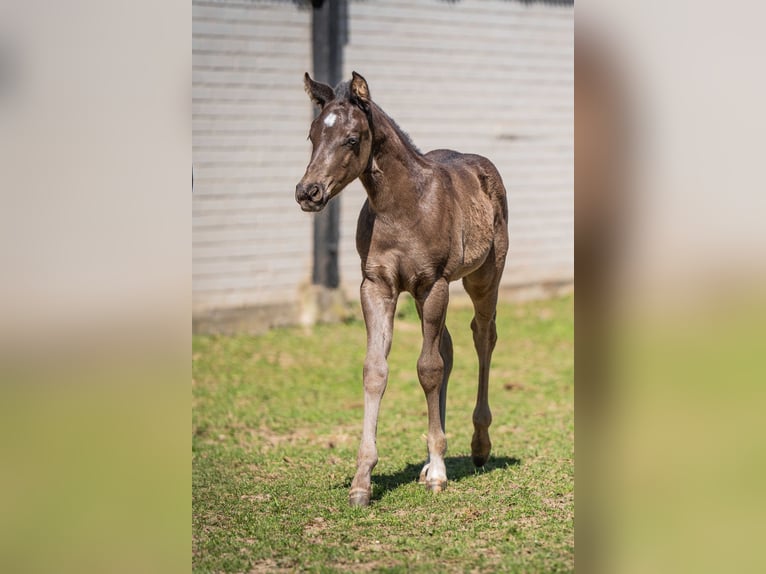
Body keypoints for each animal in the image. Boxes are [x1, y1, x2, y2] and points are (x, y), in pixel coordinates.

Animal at [296, 72, 509, 507]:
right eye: (312, 134)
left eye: (352, 139)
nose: (308, 193)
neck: (403, 207)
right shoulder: (377, 285)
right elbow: (376, 370)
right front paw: (362, 481)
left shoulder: (433, 284)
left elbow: (428, 369)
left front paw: (439, 473)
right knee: (447, 347)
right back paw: (431, 456)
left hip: (483, 277)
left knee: (483, 337)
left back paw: (478, 446)